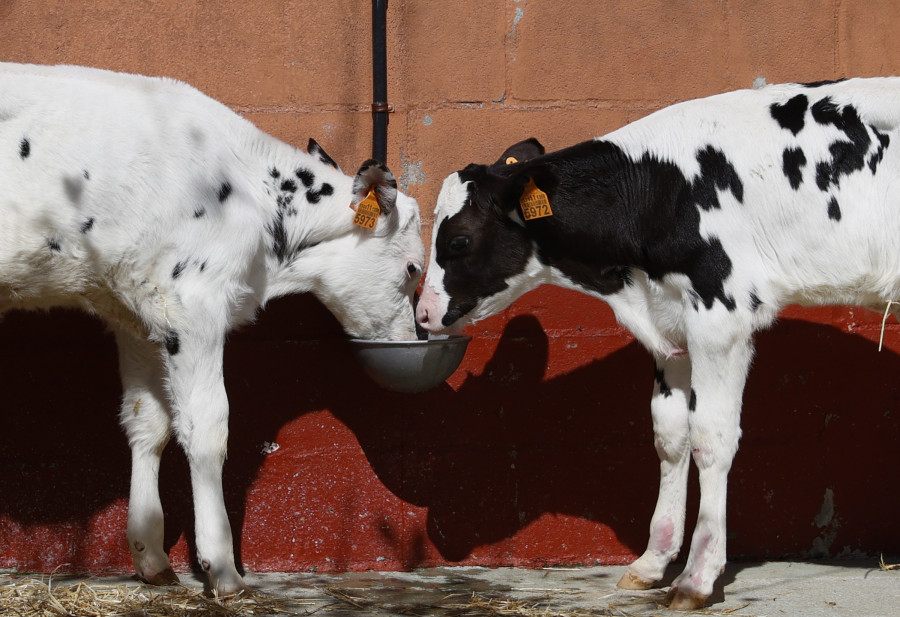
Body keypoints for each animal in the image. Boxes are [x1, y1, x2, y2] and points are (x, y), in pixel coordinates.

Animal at [0, 61, 426, 592]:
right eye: (413, 268)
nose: (410, 340)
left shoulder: (135, 312)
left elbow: (148, 422)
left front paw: (151, 556)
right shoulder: (193, 305)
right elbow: (207, 428)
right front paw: (222, 566)